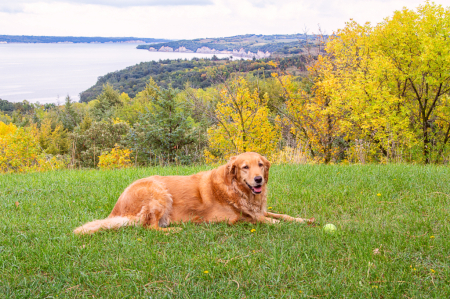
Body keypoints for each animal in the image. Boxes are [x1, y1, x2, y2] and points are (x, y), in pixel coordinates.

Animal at [74, 152, 314, 234]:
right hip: (159, 193)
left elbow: (280, 214)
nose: (258, 180)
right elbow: (264, 220)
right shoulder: (231, 219)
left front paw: (304, 220)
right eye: (245, 167)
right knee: (148, 227)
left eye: (261, 165)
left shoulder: (258, 209)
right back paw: (174, 230)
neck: (236, 189)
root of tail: (118, 207)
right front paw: (283, 225)